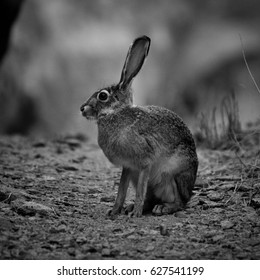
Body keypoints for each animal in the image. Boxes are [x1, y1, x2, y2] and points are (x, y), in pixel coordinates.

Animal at [80, 35, 198, 219]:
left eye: (102, 96)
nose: (82, 109)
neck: (116, 113)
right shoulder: (128, 167)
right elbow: (121, 191)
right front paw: (114, 211)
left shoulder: (144, 162)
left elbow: (140, 192)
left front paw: (136, 213)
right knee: (151, 198)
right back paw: (131, 208)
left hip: (171, 175)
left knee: (179, 202)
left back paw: (163, 208)